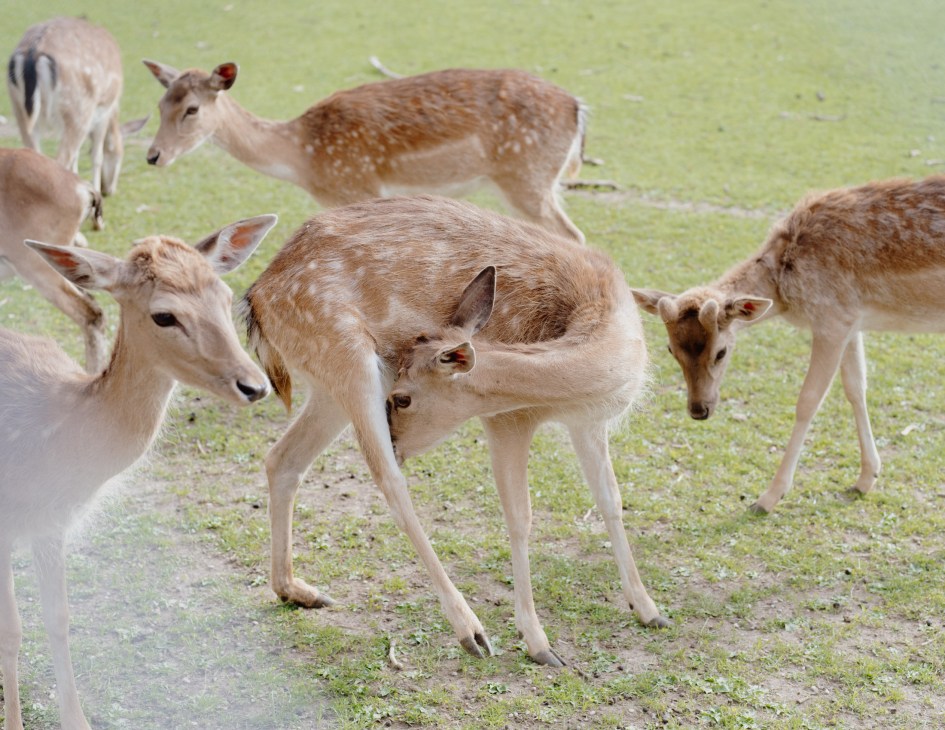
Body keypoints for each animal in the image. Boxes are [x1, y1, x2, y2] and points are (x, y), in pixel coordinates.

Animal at [0, 215, 274, 730]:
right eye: (164, 316)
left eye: (226, 296)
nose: (254, 384)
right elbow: (14, 628)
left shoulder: (51, 526)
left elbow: (57, 619)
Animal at [7, 16, 147, 203]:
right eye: (119, 154)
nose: (109, 190)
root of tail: (33, 54)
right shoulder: (103, 110)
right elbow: (96, 155)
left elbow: (78, 153)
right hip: (78, 107)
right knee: (60, 160)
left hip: (19, 109)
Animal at [142, 60, 587, 242]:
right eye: (159, 104)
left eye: (192, 109)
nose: (153, 156)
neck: (304, 158)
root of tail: (578, 108)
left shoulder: (358, 187)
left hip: (526, 179)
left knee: (573, 235)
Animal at [242, 195, 668, 667]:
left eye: (402, 398)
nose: (397, 439)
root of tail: (257, 300)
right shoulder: (507, 419)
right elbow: (520, 517)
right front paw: (539, 643)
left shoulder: (589, 422)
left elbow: (611, 500)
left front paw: (649, 609)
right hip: (347, 358)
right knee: (388, 480)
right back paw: (471, 631)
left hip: (328, 386)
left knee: (282, 458)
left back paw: (297, 591)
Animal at [632, 175, 945, 513]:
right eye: (670, 350)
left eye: (721, 352)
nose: (698, 410)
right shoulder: (851, 320)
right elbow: (856, 388)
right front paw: (866, 478)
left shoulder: (831, 319)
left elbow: (808, 401)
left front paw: (768, 498)